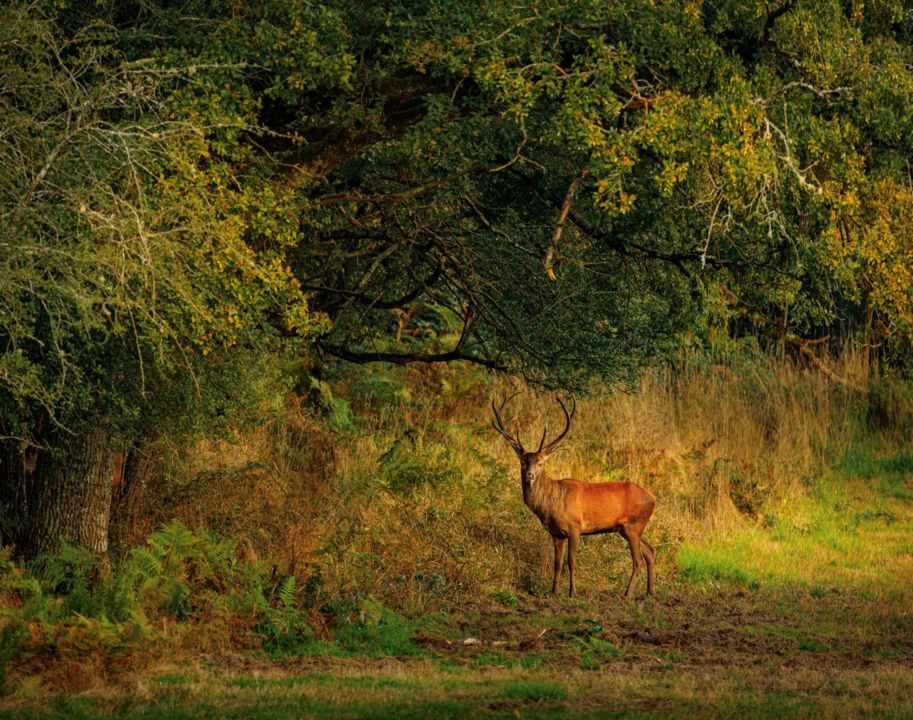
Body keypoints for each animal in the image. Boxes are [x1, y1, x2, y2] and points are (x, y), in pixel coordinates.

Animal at [491, 393, 656, 599]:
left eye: (541, 463)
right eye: (523, 461)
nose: (530, 475)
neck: (552, 503)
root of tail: (653, 499)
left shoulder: (575, 528)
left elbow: (571, 562)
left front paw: (572, 592)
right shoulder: (556, 533)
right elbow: (557, 563)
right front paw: (554, 591)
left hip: (633, 525)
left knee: (638, 560)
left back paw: (627, 594)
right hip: (628, 528)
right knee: (650, 551)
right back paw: (650, 591)